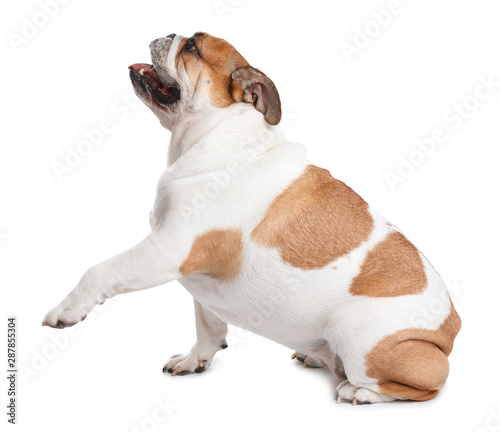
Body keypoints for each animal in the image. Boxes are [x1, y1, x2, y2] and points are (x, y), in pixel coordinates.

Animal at [43, 31, 460, 404]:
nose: (167, 33)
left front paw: (66, 310)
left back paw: (360, 391)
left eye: (192, 46)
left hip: (358, 338)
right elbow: (208, 325)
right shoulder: (197, 281)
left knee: (424, 387)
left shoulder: (166, 249)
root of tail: (451, 329)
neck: (214, 135)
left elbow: (100, 270)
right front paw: (195, 359)